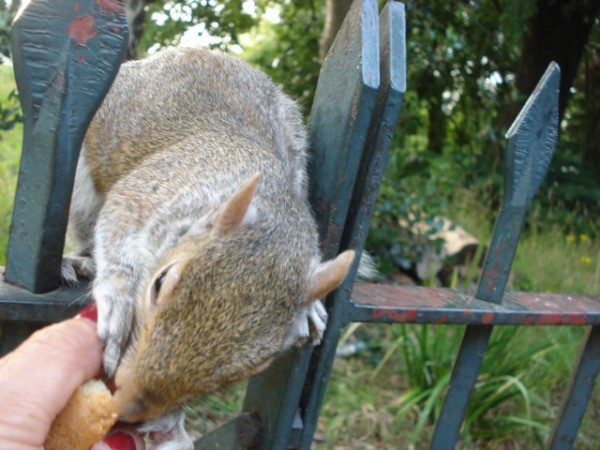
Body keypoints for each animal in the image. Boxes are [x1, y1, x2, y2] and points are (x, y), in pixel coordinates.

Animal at [64, 46, 356, 450]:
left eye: (259, 364)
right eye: (159, 282)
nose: (131, 406)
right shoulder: (139, 197)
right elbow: (116, 241)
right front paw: (118, 304)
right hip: (83, 187)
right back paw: (80, 262)